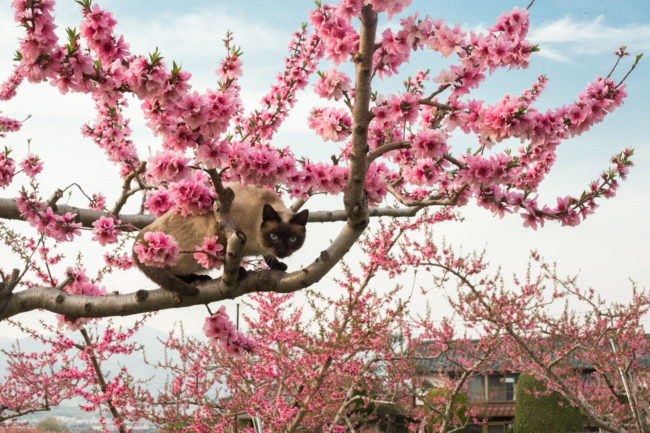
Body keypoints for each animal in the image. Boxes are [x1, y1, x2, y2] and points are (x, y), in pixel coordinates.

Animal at [133, 181, 308, 296]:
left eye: (292, 239)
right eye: (273, 236)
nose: (282, 250)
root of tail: (143, 233)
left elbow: (266, 256)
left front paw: (278, 266)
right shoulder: (223, 231)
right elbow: (227, 256)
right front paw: (239, 272)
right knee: (172, 271)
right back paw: (197, 279)